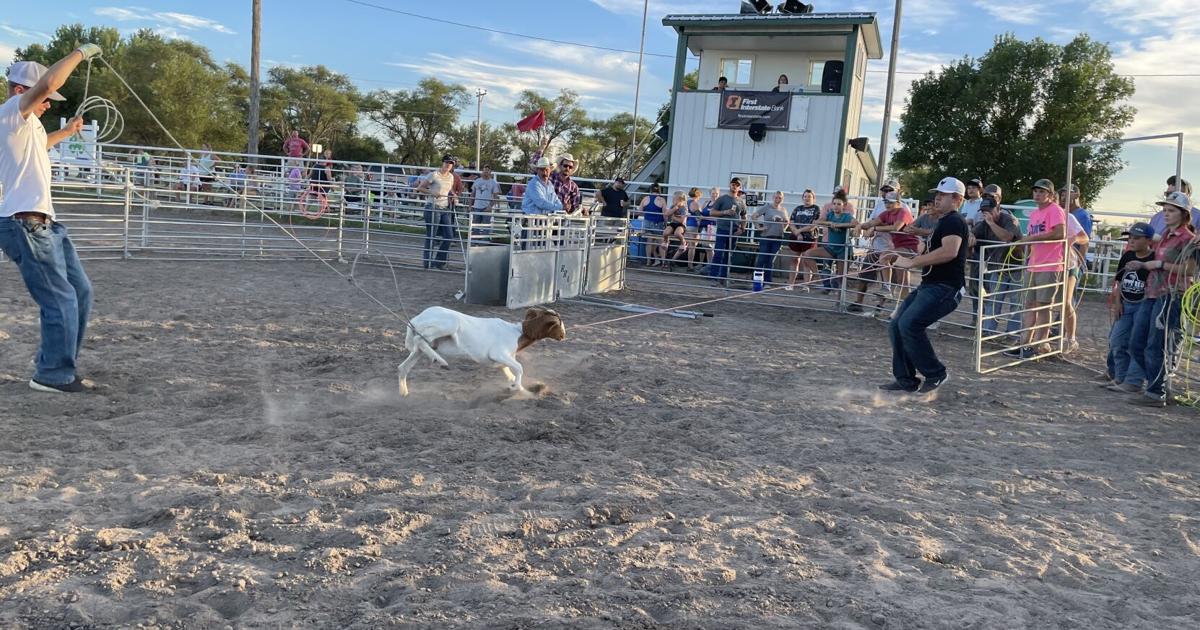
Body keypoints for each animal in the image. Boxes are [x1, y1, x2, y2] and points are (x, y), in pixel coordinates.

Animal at [398, 306, 567, 396]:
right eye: (557, 324)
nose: (563, 336)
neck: (517, 333)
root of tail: (416, 319)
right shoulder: (498, 353)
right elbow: (519, 367)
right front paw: (517, 387)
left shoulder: (502, 359)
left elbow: (509, 370)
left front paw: (520, 389)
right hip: (449, 325)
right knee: (420, 340)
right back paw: (439, 361)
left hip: (420, 350)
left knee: (403, 367)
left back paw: (404, 393)